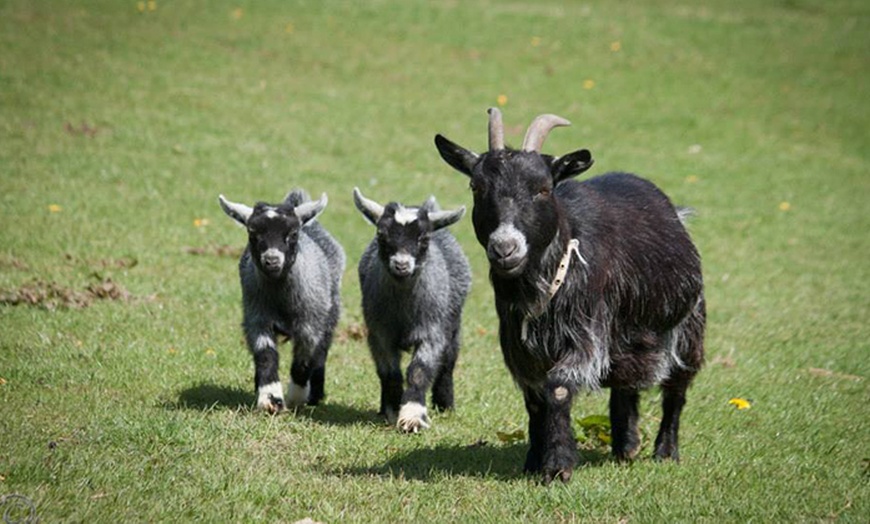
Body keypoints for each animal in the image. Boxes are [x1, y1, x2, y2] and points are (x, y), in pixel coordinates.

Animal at [436, 109, 708, 484]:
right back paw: (625, 445)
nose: (505, 248)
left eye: (543, 189)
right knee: (625, 385)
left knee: (676, 389)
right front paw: (533, 461)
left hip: (688, 325)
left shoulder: (584, 334)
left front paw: (557, 466)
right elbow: (535, 400)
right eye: (476, 187)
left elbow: (558, 389)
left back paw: (665, 452)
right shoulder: (520, 348)